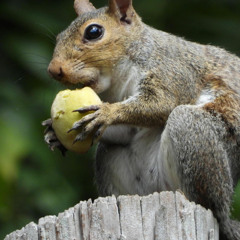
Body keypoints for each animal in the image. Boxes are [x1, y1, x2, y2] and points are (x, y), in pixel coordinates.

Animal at [43, 0, 240, 239]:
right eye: (59, 36)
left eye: (93, 32)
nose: (53, 69)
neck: (118, 78)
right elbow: (126, 131)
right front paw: (54, 133)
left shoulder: (173, 70)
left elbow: (163, 103)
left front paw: (106, 112)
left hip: (193, 136)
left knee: (209, 205)